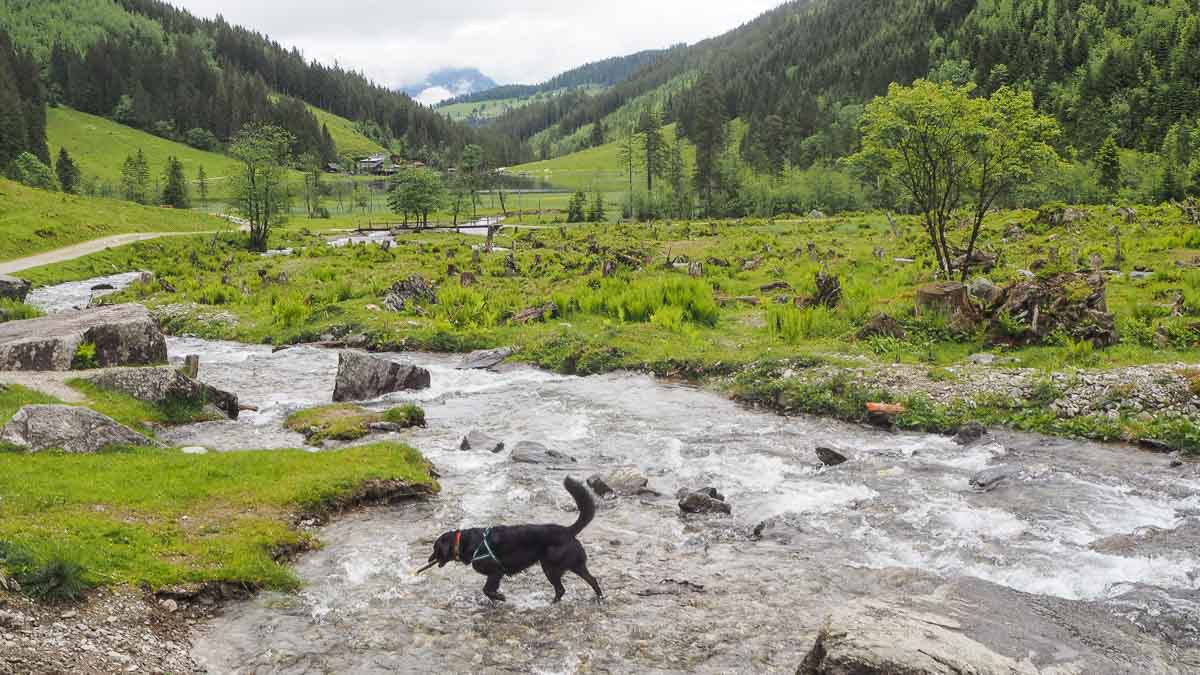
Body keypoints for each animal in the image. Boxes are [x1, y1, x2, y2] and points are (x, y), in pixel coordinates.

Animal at [422, 475, 604, 600]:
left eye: (435, 549)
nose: (428, 559)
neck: (466, 542)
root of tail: (568, 530)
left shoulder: (496, 571)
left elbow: (487, 589)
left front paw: (499, 598)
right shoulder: (496, 574)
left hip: (551, 567)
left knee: (562, 588)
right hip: (573, 565)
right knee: (590, 580)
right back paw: (598, 598)